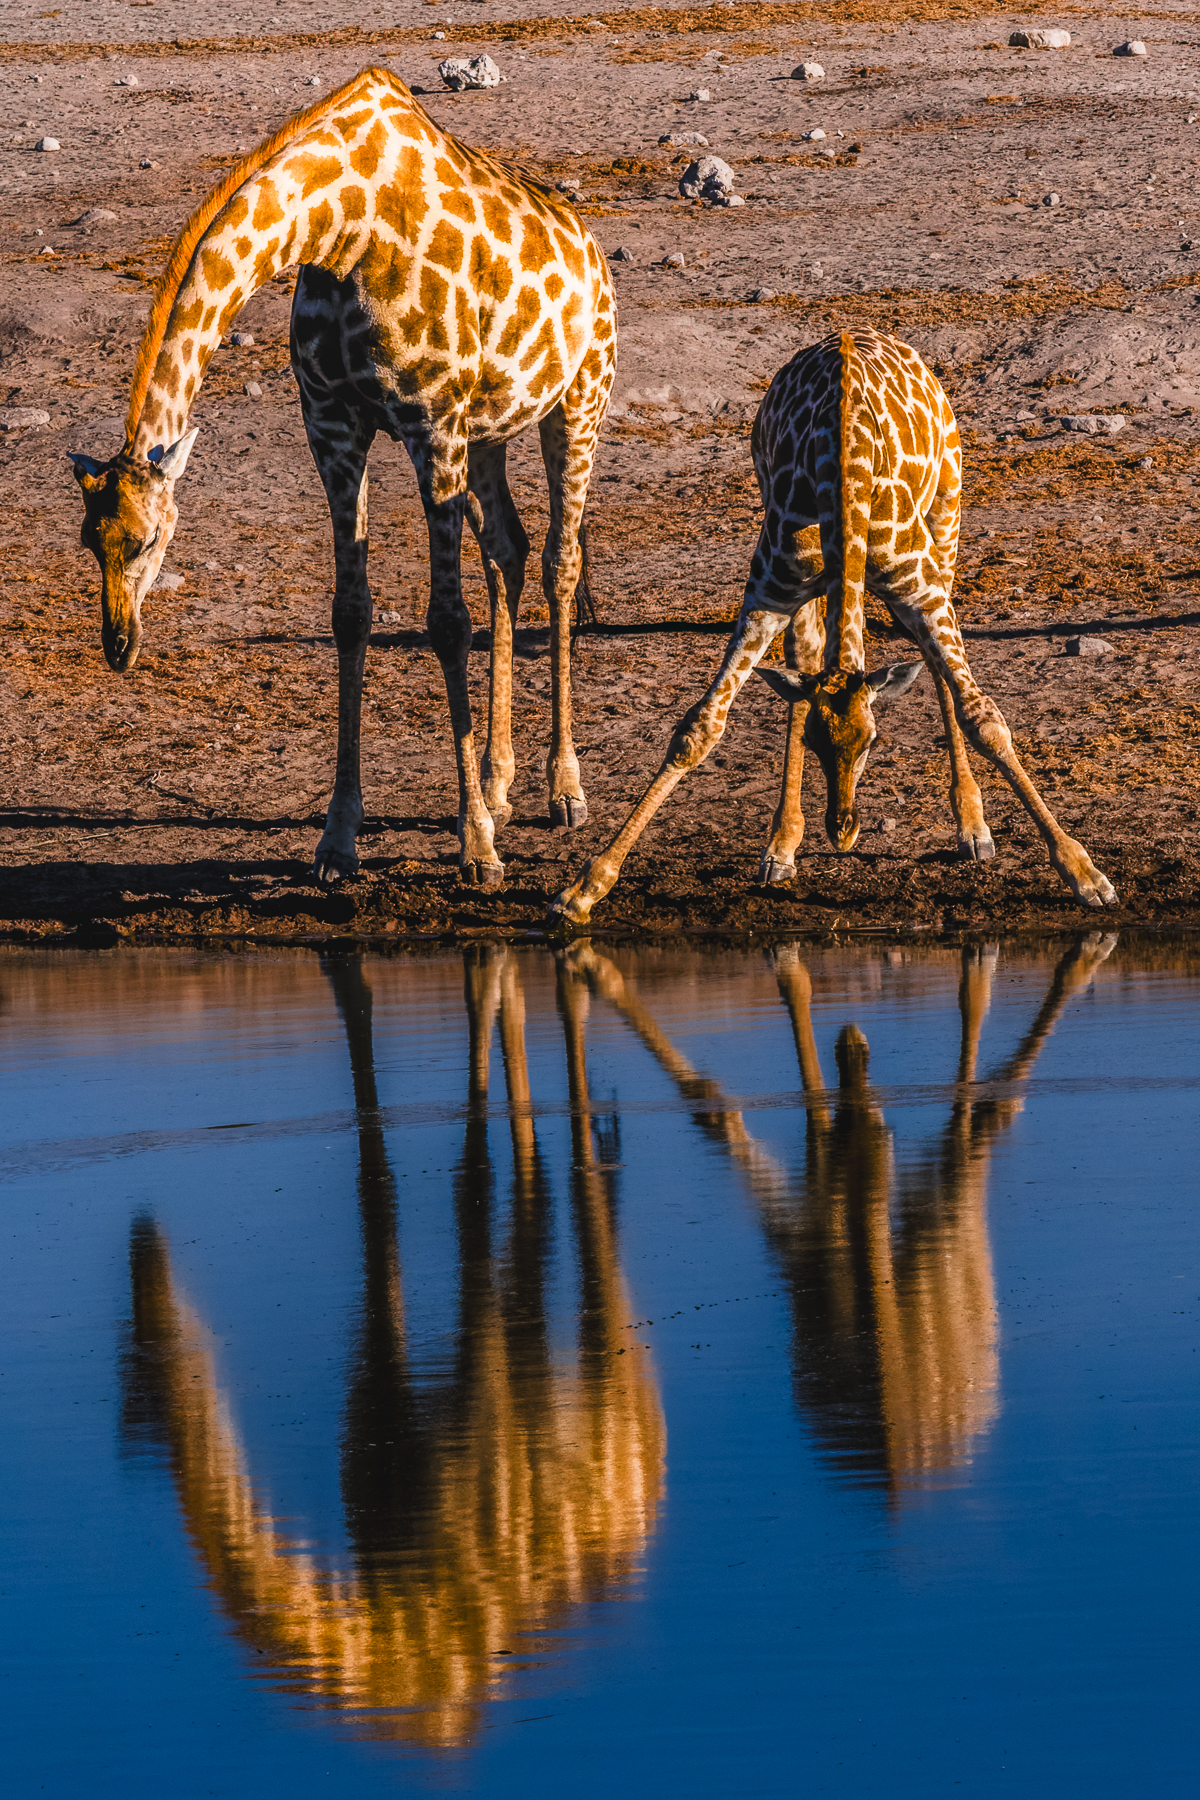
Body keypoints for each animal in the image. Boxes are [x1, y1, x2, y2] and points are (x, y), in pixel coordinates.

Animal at [69, 67, 617, 887]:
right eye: (88, 541)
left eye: (144, 541)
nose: (119, 645)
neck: (340, 225)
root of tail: (593, 248)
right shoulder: (332, 424)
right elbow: (351, 614)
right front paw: (338, 838)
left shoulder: (432, 422)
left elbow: (445, 622)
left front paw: (476, 848)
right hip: (488, 433)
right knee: (509, 553)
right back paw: (498, 783)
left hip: (578, 400)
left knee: (560, 561)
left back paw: (564, 790)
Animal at [550, 328, 1117, 924]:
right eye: (817, 744)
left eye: (872, 741)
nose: (843, 833)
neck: (845, 471)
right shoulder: (771, 588)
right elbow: (700, 728)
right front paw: (586, 885)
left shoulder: (919, 585)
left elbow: (983, 717)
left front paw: (1086, 874)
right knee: (807, 656)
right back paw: (781, 846)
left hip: (947, 516)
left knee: (932, 662)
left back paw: (972, 827)